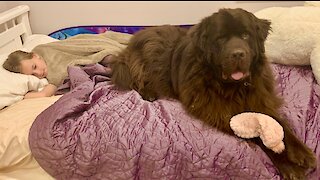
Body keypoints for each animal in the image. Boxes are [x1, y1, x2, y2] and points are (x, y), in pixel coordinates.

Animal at [109, 8, 316, 179]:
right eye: (221, 39)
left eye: (245, 35)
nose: (238, 54)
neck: (235, 87)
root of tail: (138, 35)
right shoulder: (220, 111)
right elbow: (257, 133)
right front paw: (289, 165)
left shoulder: (260, 98)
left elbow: (280, 122)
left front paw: (301, 152)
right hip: (148, 57)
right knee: (136, 79)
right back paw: (149, 93)